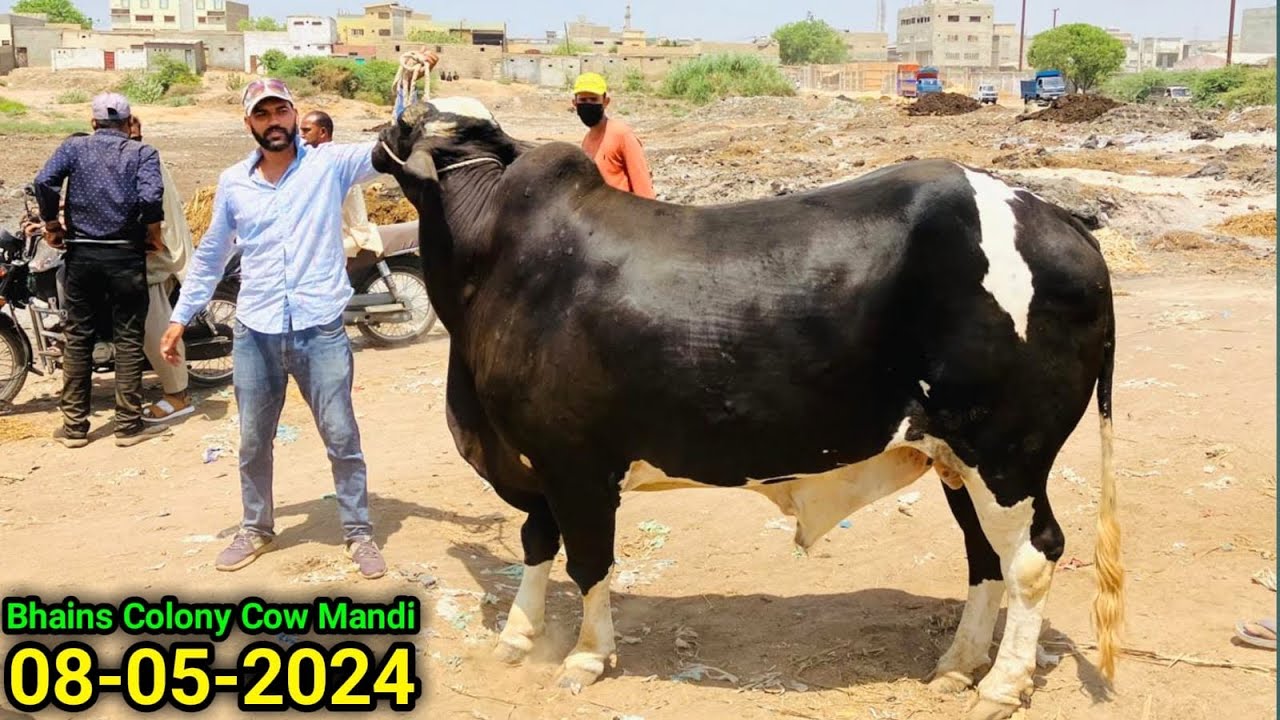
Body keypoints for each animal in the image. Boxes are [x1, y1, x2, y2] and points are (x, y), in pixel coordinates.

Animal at [370, 97, 1124, 720]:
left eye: (414, 123)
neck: (489, 266)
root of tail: (1063, 221)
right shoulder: (533, 470)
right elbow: (535, 545)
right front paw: (517, 639)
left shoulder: (576, 466)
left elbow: (588, 564)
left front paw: (585, 658)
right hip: (956, 458)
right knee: (985, 556)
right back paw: (958, 667)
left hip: (1008, 453)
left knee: (1033, 555)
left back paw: (1002, 684)